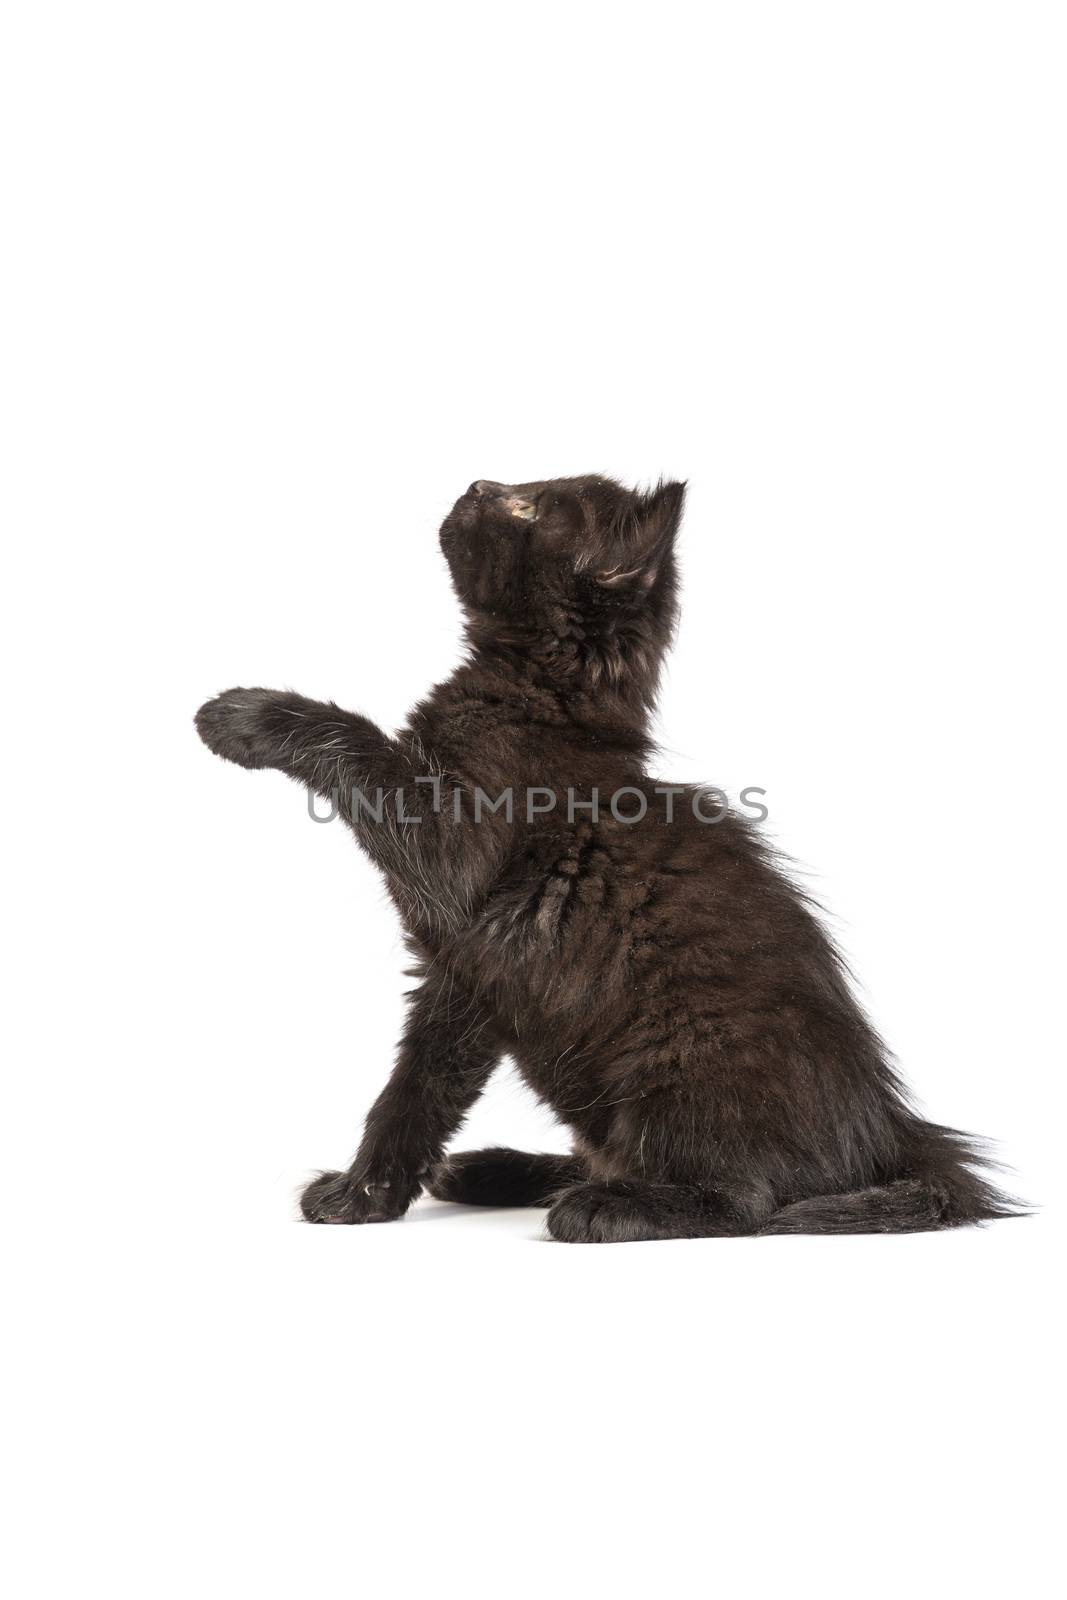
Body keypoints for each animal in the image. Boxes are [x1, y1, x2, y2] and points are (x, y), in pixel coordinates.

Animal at [195, 467, 1023, 1241]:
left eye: (526, 506)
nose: (477, 484)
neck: (539, 702)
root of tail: (887, 1129)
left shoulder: (450, 850)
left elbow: (360, 745)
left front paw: (242, 716)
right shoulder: (461, 979)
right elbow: (414, 1092)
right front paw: (366, 1193)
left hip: (677, 1069)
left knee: (744, 1200)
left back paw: (603, 1208)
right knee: (614, 1156)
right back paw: (497, 1170)